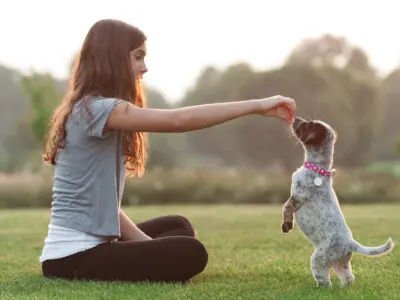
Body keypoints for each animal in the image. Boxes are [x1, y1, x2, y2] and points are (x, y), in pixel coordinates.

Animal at [282, 116, 394, 288]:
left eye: (308, 125)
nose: (295, 118)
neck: (317, 168)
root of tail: (351, 243)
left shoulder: (298, 196)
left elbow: (285, 208)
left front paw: (286, 225)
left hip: (319, 259)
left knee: (324, 280)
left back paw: (321, 289)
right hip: (340, 263)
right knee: (349, 278)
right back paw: (344, 289)